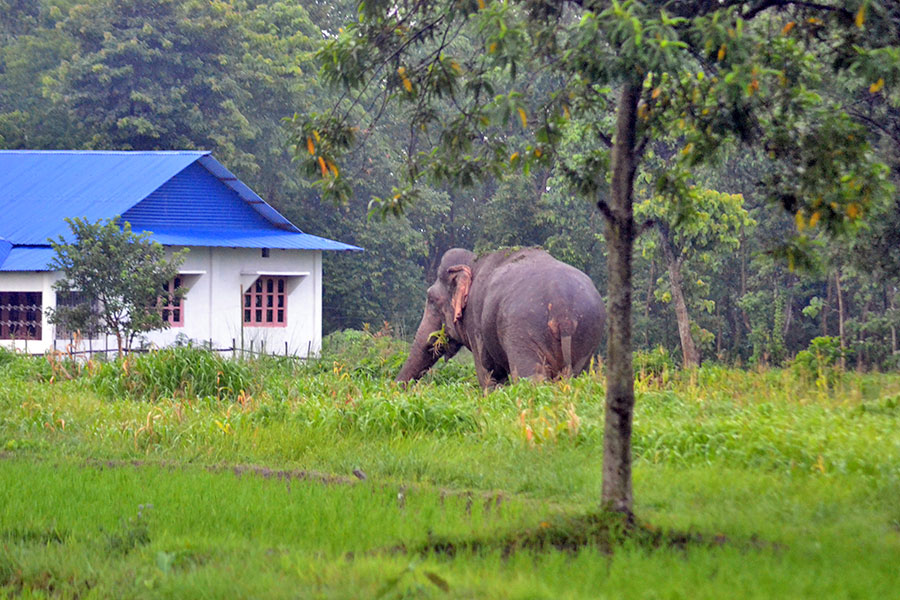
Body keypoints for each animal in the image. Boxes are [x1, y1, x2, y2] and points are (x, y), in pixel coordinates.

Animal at [397, 247, 606, 388]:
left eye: (431, 299)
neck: (473, 260)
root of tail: (563, 311)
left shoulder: (475, 321)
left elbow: (488, 373)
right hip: (588, 334)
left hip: (523, 331)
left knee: (530, 376)